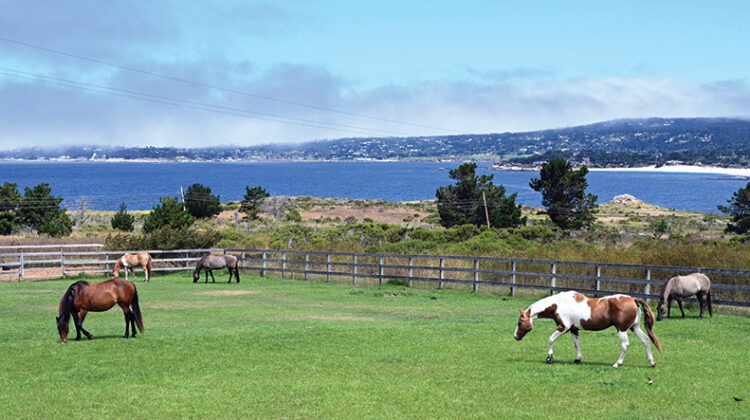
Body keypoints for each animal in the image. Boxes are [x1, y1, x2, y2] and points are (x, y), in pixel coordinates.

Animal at [516, 292, 664, 368]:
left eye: (519, 322)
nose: (516, 336)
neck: (558, 304)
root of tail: (633, 299)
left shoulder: (563, 327)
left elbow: (551, 339)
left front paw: (549, 358)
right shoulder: (574, 329)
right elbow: (576, 344)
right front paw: (578, 359)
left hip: (622, 330)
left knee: (625, 345)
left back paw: (617, 363)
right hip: (634, 328)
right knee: (646, 341)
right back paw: (652, 362)